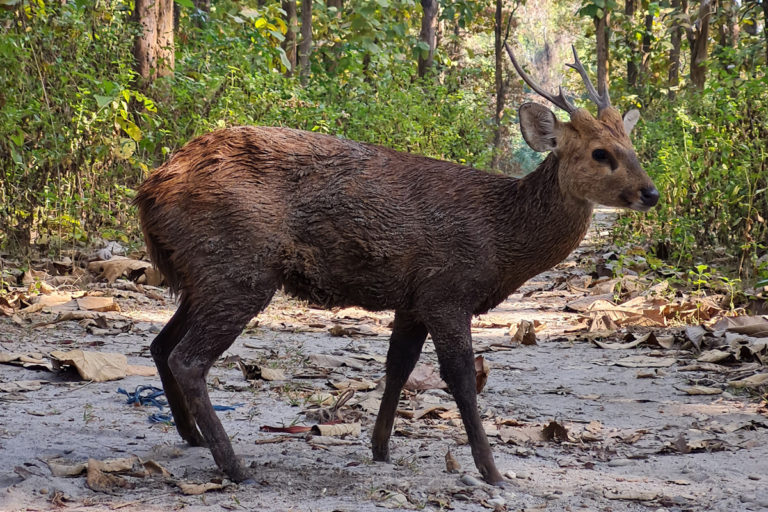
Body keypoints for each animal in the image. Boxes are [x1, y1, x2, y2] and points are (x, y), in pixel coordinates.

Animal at [134, 44, 660, 484]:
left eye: (633, 148)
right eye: (600, 153)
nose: (650, 193)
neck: (500, 239)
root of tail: (151, 188)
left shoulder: (413, 298)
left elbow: (398, 368)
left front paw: (380, 448)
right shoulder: (447, 288)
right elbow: (461, 379)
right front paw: (491, 471)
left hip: (205, 272)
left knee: (161, 344)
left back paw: (192, 436)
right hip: (238, 266)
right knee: (188, 358)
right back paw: (235, 465)